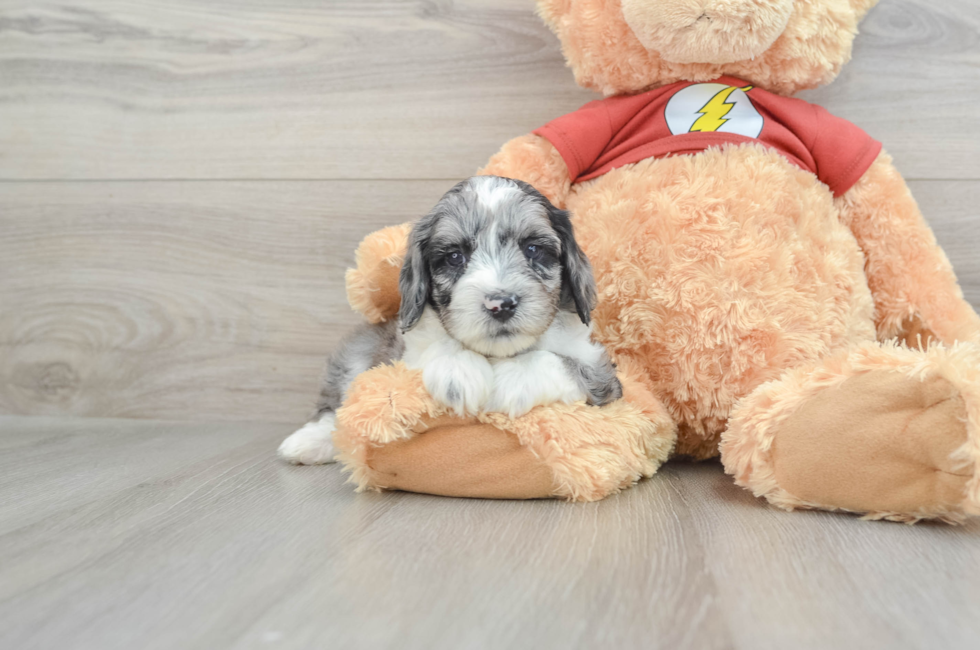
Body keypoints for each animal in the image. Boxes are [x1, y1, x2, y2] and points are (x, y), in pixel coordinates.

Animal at [280, 175, 624, 464]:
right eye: (455, 257)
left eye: (533, 249)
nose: (500, 304)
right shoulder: (404, 354)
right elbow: (440, 344)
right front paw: (458, 372)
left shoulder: (601, 372)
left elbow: (559, 361)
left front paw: (508, 380)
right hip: (355, 354)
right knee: (334, 407)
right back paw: (307, 442)